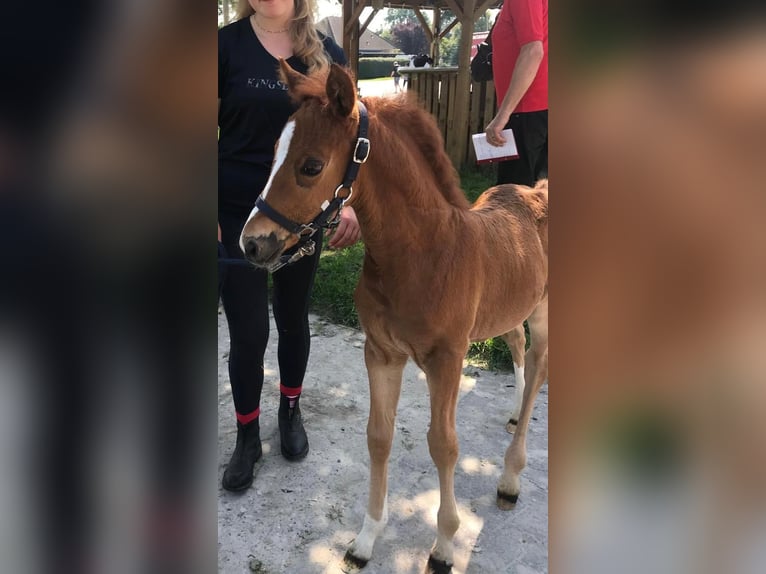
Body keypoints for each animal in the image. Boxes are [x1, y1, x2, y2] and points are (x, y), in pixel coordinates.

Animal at [240, 60, 544, 572]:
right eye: (274, 153)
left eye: (311, 165)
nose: (251, 244)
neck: (422, 254)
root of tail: (535, 191)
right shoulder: (381, 352)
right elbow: (378, 436)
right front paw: (366, 538)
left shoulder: (447, 359)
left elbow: (444, 444)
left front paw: (444, 546)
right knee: (516, 345)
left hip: (543, 314)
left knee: (539, 369)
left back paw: (511, 477)